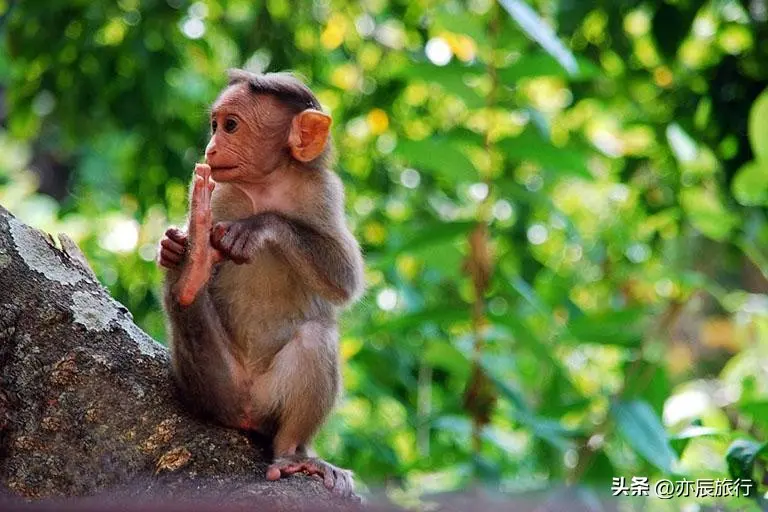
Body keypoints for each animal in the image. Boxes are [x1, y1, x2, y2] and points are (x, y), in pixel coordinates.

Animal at [157, 70, 366, 498]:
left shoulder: (324, 192)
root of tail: (245, 410)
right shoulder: (220, 193)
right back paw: (189, 276)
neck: (265, 185)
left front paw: (257, 227)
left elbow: (345, 278)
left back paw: (289, 453)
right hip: (211, 385)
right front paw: (175, 248)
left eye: (231, 126)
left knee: (315, 337)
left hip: (271, 402)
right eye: (215, 124)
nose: (211, 147)